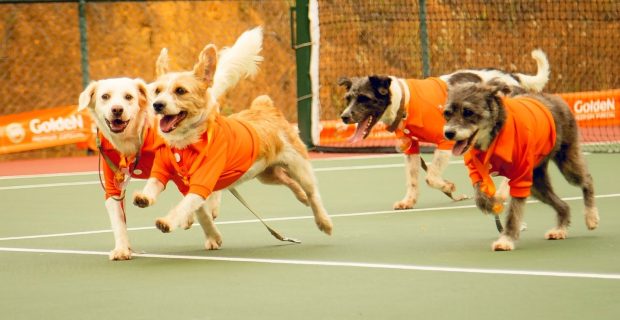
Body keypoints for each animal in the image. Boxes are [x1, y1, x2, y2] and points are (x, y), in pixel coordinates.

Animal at [133, 31, 332, 245]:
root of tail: (265, 107)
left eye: (180, 91)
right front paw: (144, 197)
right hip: (266, 173)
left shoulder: (202, 183)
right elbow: (153, 185)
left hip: (299, 166)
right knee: (287, 180)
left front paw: (168, 222)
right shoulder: (161, 172)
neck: (186, 142)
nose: (157, 105)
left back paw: (323, 221)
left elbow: (185, 205)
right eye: (157, 91)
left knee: (313, 193)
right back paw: (301, 196)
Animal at [336, 49, 548, 210]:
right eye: (349, 98)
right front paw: (409, 201)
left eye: (364, 98)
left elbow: (431, 176)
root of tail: (512, 77)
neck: (404, 102)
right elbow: (413, 179)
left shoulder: (445, 142)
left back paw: (504, 191)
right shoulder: (411, 149)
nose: (344, 117)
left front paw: (448, 186)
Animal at [444, 79, 600, 250]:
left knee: (587, 180)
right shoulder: (476, 172)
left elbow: (513, 213)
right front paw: (492, 203)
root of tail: (556, 98)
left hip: (567, 164)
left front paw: (506, 239)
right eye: (447, 113)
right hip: (536, 184)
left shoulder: (520, 178)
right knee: (563, 205)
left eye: (468, 112)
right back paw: (560, 229)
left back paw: (591, 216)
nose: (448, 133)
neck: (495, 135)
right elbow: (480, 197)